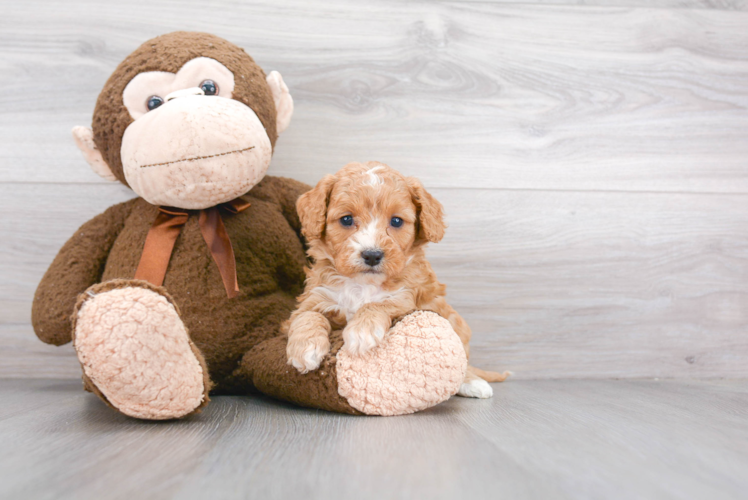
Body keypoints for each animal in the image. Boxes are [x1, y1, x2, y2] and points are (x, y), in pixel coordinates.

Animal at [284, 162, 508, 396]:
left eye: (396, 221)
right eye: (346, 219)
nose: (372, 255)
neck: (363, 285)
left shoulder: (407, 298)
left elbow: (380, 304)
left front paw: (361, 331)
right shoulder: (314, 297)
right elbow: (307, 315)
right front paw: (305, 349)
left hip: (456, 322)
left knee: (462, 361)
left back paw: (473, 383)